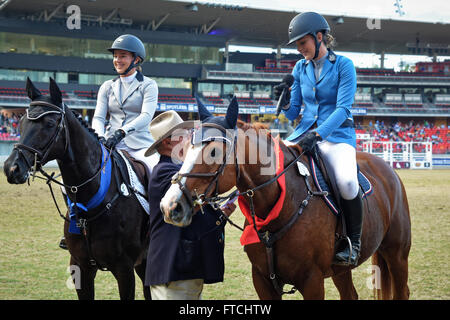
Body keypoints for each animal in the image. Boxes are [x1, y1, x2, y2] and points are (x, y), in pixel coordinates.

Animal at [159, 98, 412, 300]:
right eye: (186, 148)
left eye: (213, 152)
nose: (170, 206)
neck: (282, 204)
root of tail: (385, 167)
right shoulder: (262, 280)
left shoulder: (312, 281)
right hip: (342, 269)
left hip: (397, 255)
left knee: (402, 290)